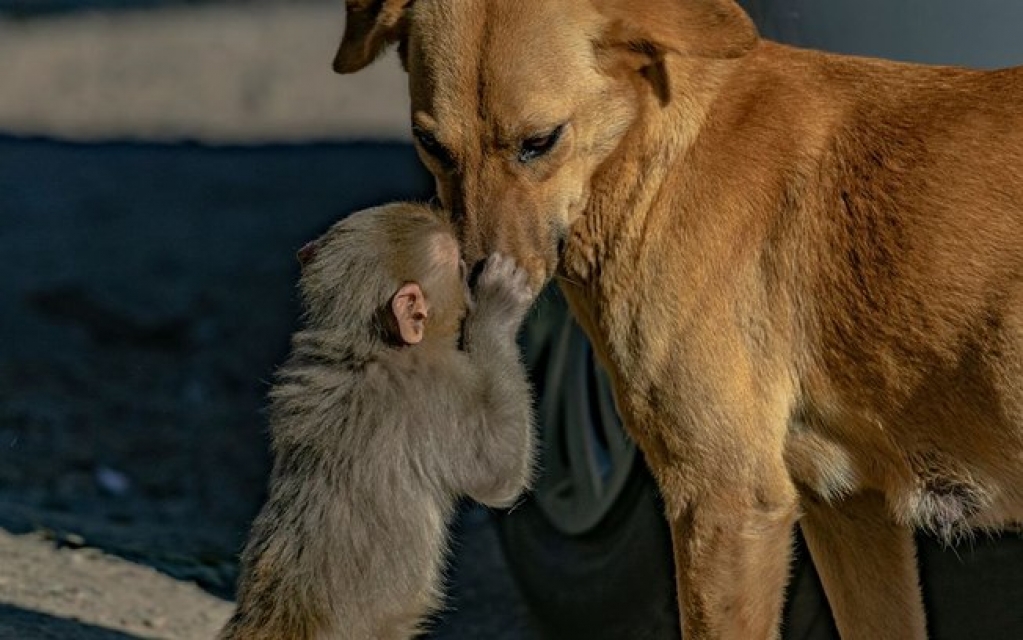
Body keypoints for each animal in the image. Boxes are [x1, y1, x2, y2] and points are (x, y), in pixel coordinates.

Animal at [220, 200, 540, 637]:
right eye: (459, 267)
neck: (368, 347)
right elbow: (498, 474)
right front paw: (498, 307)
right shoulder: (438, 389)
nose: (472, 267)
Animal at [331, 0, 1018, 633]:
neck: (652, 158)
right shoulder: (848, 507)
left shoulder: (726, 504)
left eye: (540, 142)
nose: (472, 292)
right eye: (431, 145)